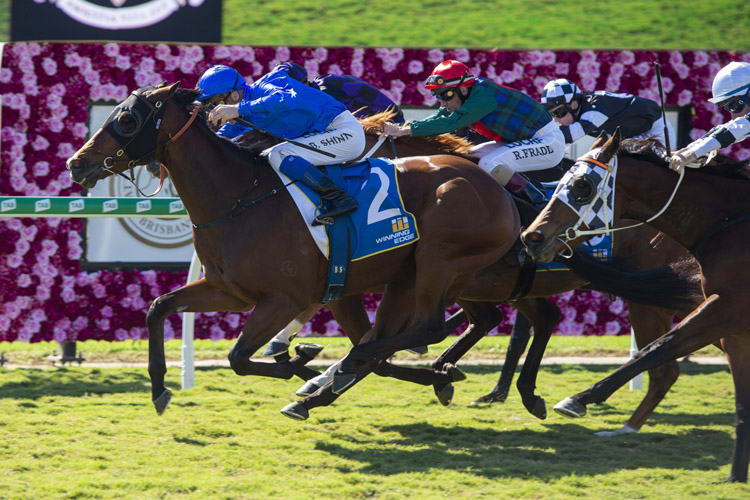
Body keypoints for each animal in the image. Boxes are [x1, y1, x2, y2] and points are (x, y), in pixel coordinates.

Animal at [524, 131, 750, 482]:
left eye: (582, 186)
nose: (532, 236)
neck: (727, 224)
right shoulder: (733, 325)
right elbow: (742, 403)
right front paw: (736, 476)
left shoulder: (727, 307)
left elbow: (656, 349)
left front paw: (578, 399)